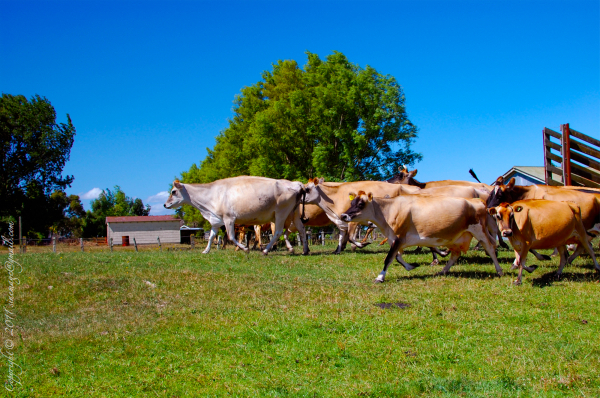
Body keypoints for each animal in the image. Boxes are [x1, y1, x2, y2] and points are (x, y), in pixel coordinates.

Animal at [163, 177, 310, 255]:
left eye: (173, 191)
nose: (165, 204)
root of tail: (295, 183)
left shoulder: (229, 218)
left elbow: (231, 236)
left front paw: (245, 248)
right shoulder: (216, 220)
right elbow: (211, 237)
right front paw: (206, 250)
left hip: (280, 213)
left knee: (278, 232)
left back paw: (265, 250)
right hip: (294, 213)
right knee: (302, 229)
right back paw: (304, 250)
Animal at [340, 191, 500, 282]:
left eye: (361, 204)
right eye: (352, 202)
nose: (343, 215)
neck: (389, 211)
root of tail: (478, 201)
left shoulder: (398, 237)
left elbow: (389, 258)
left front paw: (380, 277)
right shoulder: (395, 240)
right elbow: (397, 257)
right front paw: (411, 266)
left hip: (479, 231)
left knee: (491, 248)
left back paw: (499, 270)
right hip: (456, 237)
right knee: (455, 254)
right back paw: (443, 271)